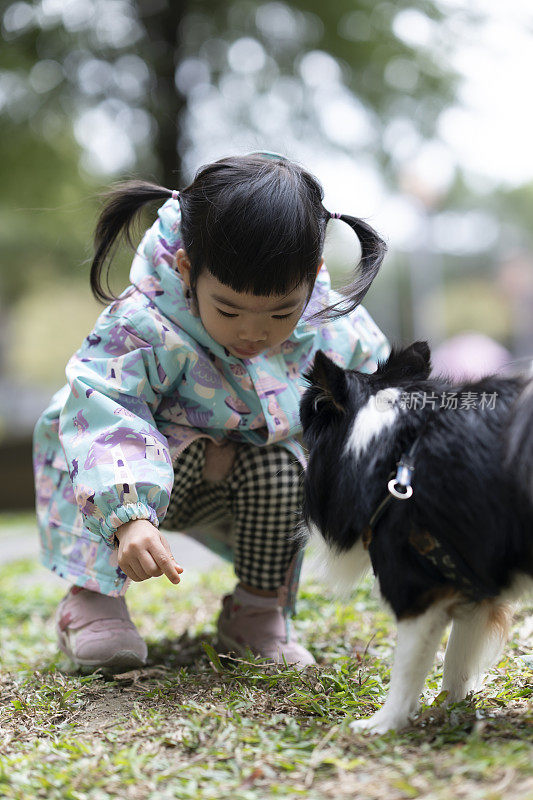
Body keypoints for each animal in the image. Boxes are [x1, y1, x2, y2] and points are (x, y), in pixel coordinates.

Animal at [302, 340, 528, 736]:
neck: (395, 455)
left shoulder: (414, 587)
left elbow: (407, 669)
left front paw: (382, 724)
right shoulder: (468, 580)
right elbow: (457, 660)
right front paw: (451, 708)